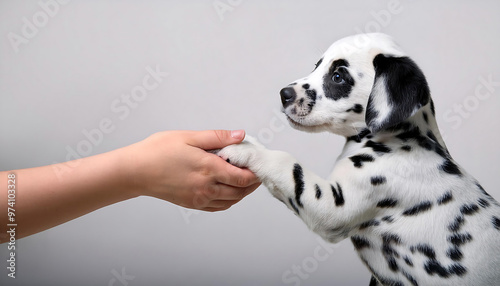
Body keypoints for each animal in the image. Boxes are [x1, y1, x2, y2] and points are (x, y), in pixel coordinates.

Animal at [218, 34, 500, 286]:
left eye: (338, 76)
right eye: (317, 66)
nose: (284, 94)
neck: (403, 139)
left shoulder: (332, 204)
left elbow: (286, 164)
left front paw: (244, 150)